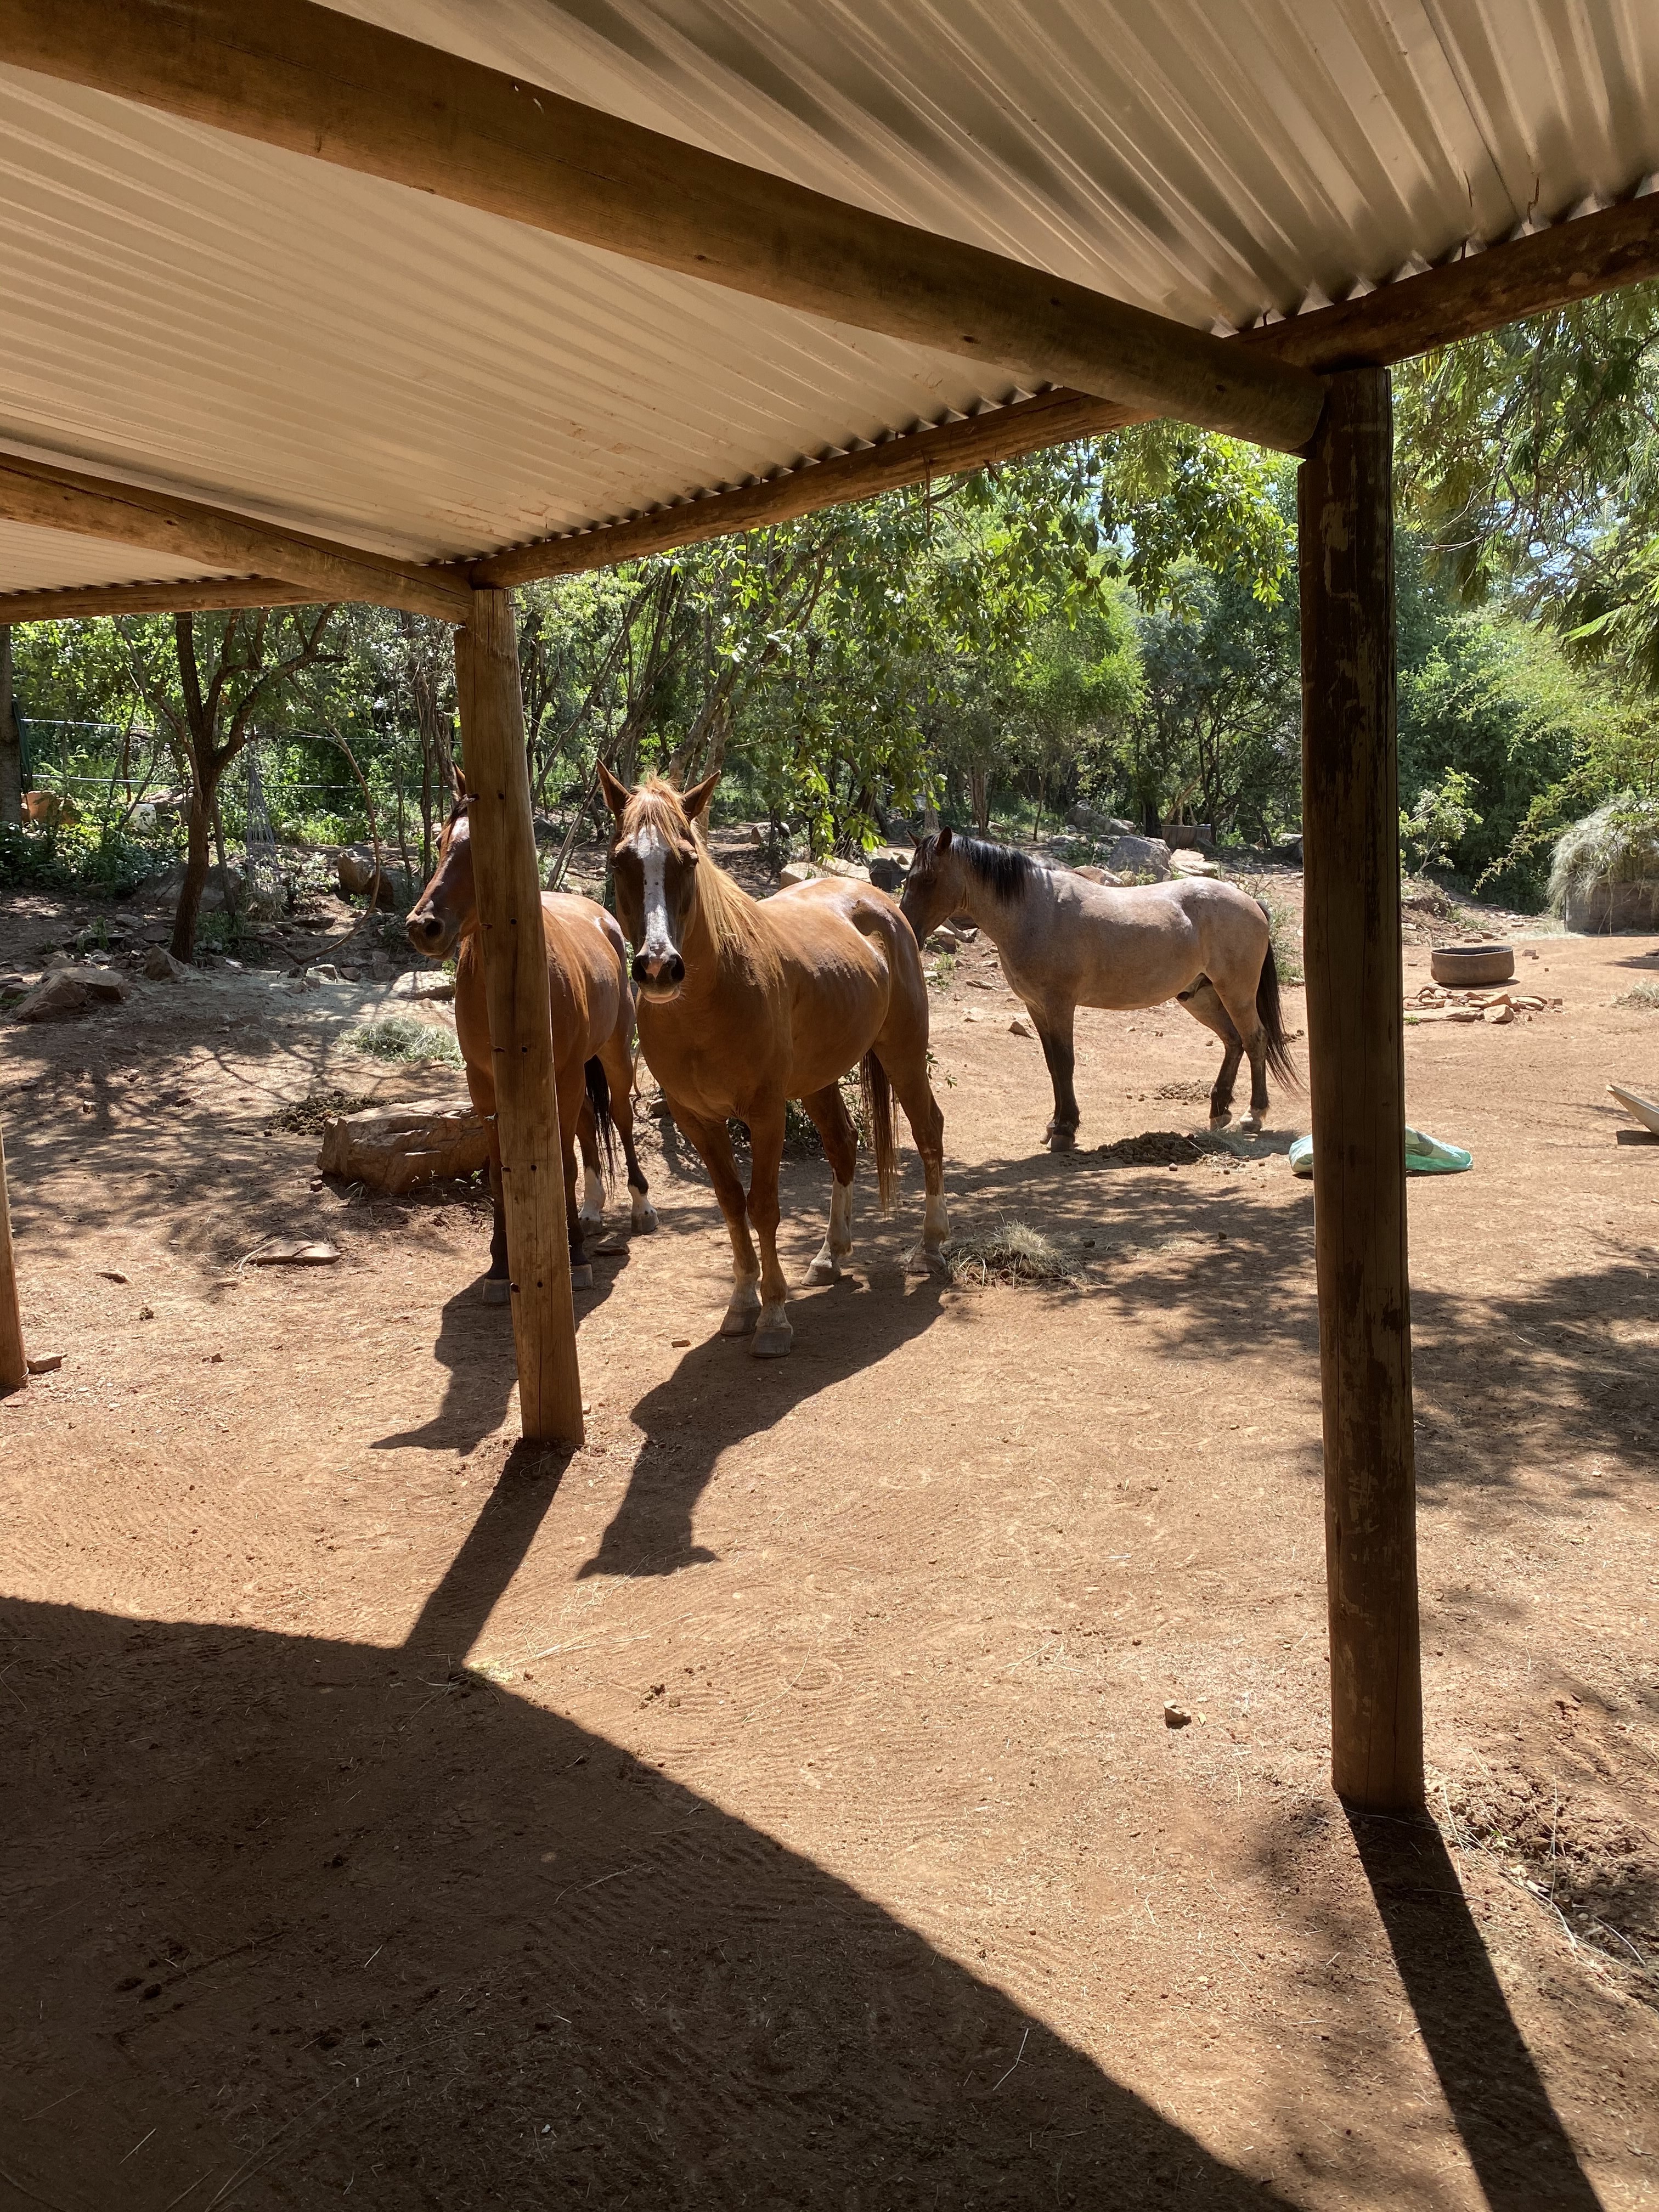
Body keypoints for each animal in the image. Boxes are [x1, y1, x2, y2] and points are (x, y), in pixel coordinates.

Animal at [406, 776, 655, 1302]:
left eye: (483, 850)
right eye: (440, 842)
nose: (424, 926)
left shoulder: (563, 1075)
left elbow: (562, 1161)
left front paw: (575, 1258)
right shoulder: (484, 1089)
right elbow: (500, 1175)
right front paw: (500, 1267)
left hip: (612, 1057)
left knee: (619, 1117)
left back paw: (641, 1206)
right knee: (587, 1125)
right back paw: (592, 1208)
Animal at [597, 765, 948, 1358]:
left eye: (688, 859)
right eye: (620, 860)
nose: (659, 967)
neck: (707, 1004)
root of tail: (877, 902)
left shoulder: (764, 1115)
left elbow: (763, 1206)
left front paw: (775, 1317)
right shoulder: (697, 1121)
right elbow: (731, 1204)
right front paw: (742, 1304)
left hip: (901, 1055)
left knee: (928, 1132)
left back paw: (931, 1247)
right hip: (818, 1080)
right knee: (843, 1144)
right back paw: (830, 1256)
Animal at [900, 828, 1295, 1149]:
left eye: (929, 879)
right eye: (908, 879)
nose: (908, 930)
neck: (1036, 912)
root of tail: (1250, 903)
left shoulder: (1060, 1005)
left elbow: (1065, 1063)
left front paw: (1065, 1130)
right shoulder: (1036, 1007)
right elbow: (1052, 1065)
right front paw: (1055, 1125)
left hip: (1236, 993)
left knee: (1255, 1040)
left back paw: (1253, 1116)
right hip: (1201, 997)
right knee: (1233, 1041)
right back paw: (1219, 1111)